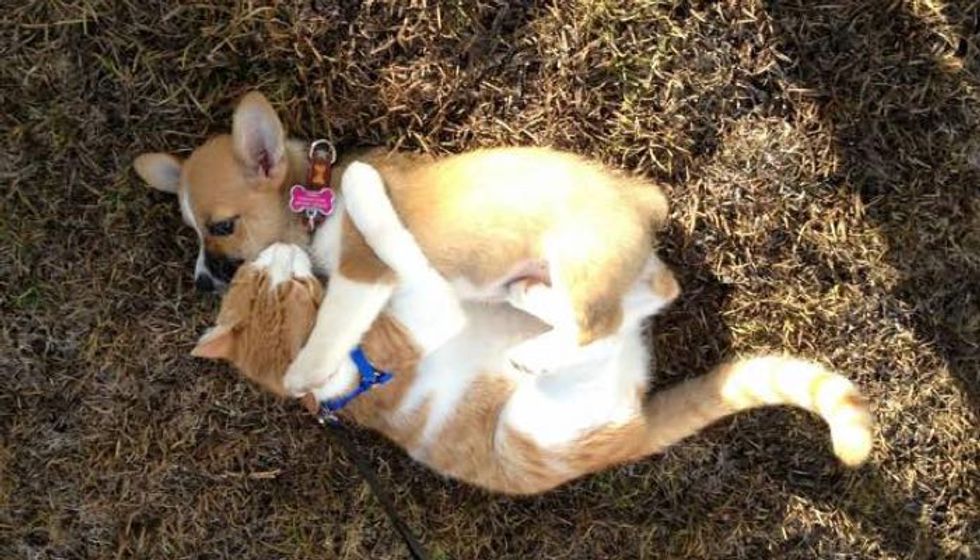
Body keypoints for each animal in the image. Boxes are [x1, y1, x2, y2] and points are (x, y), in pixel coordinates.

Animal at [136, 93, 672, 398]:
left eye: (222, 226)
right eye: (192, 231)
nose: (201, 282)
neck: (317, 198)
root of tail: (641, 200)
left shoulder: (363, 268)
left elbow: (331, 325)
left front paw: (305, 371)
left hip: (579, 259)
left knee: (601, 325)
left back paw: (536, 353)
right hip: (601, 274)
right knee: (641, 304)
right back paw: (532, 301)